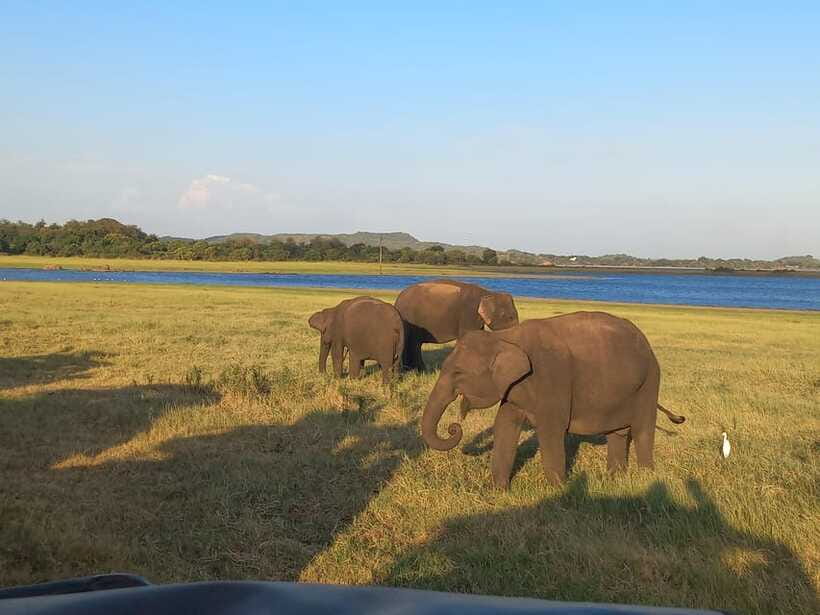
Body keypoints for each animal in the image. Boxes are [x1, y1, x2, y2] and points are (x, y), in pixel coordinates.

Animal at [420, 311, 685, 488]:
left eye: (458, 373)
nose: (454, 427)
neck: (507, 337)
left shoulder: (552, 377)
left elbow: (551, 431)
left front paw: (559, 491)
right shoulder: (514, 389)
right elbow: (505, 426)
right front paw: (497, 491)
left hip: (649, 381)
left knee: (642, 430)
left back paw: (645, 477)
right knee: (618, 433)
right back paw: (614, 477)